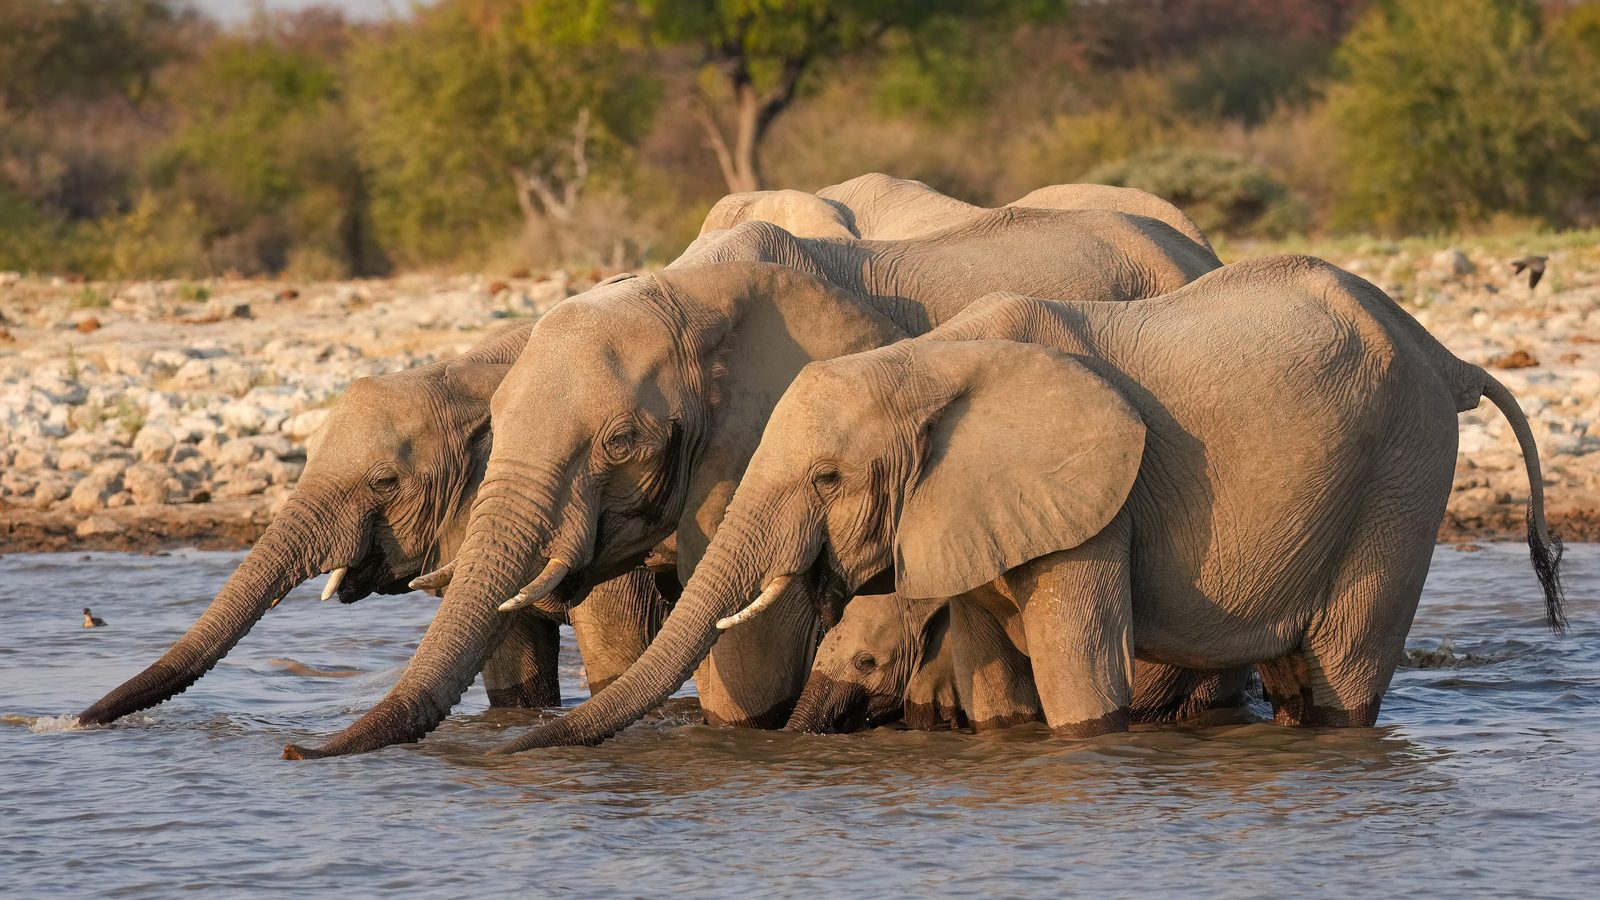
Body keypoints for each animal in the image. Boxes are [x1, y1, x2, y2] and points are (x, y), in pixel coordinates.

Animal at [492, 254, 1565, 751]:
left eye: (830, 480)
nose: (524, 747)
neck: (926, 362)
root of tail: (1446, 355)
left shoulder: (1096, 502)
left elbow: (1080, 673)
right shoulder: (963, 510)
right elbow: (996, 678)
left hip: (1402, 478)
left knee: (1342, 670)